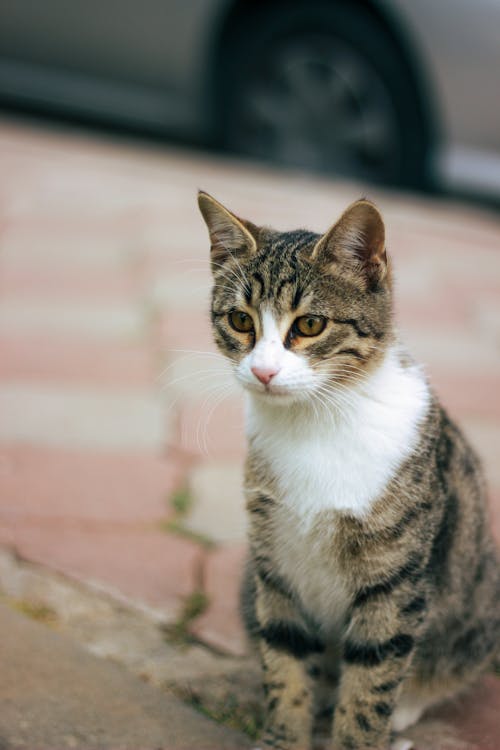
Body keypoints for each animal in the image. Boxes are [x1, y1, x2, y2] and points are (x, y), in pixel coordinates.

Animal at [196, 192, 500, 750]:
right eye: (241, 321)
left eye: (310, 325)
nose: (263, 371)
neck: (314, 423)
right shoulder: (277, 562)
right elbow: (286, 661)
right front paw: (284, 736)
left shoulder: (395, 581)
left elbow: (371, 684)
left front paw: (362, 729)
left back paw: (408, 708)